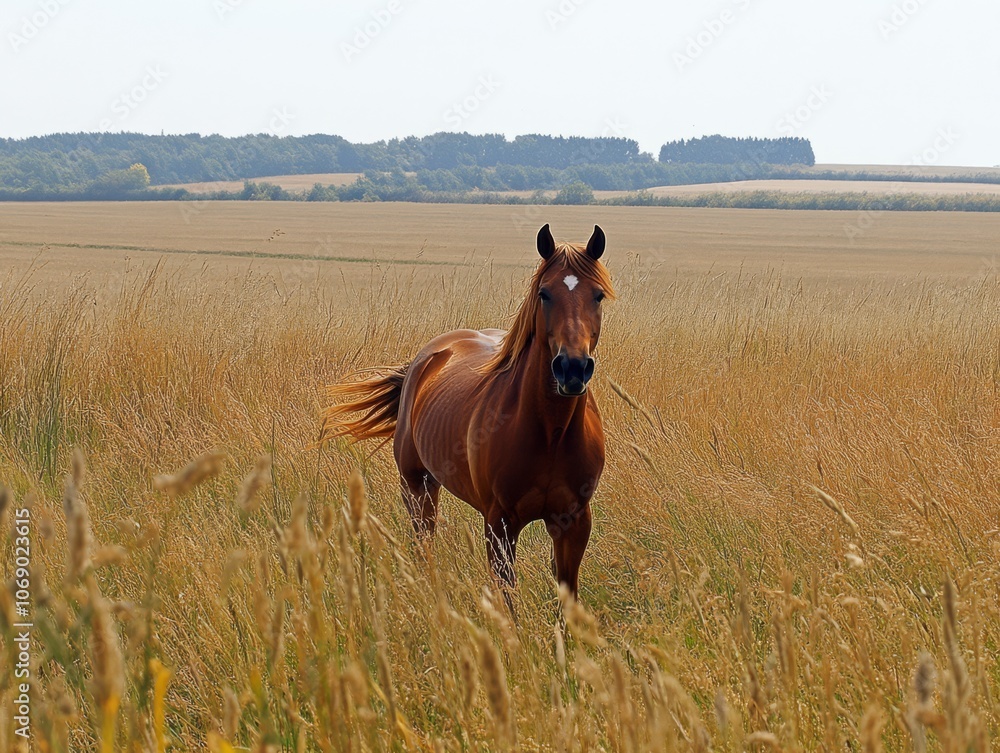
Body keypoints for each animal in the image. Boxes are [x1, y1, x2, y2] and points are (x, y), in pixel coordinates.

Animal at [321, 224, 614, 598]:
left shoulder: (573, 522)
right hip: (417, 486)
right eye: (544, 293)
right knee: (424, 544)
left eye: (598, 295)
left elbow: (567, 593)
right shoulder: (500, 523)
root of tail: (424, 359)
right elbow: (506, 596)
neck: (551, 432)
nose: (572, 368)